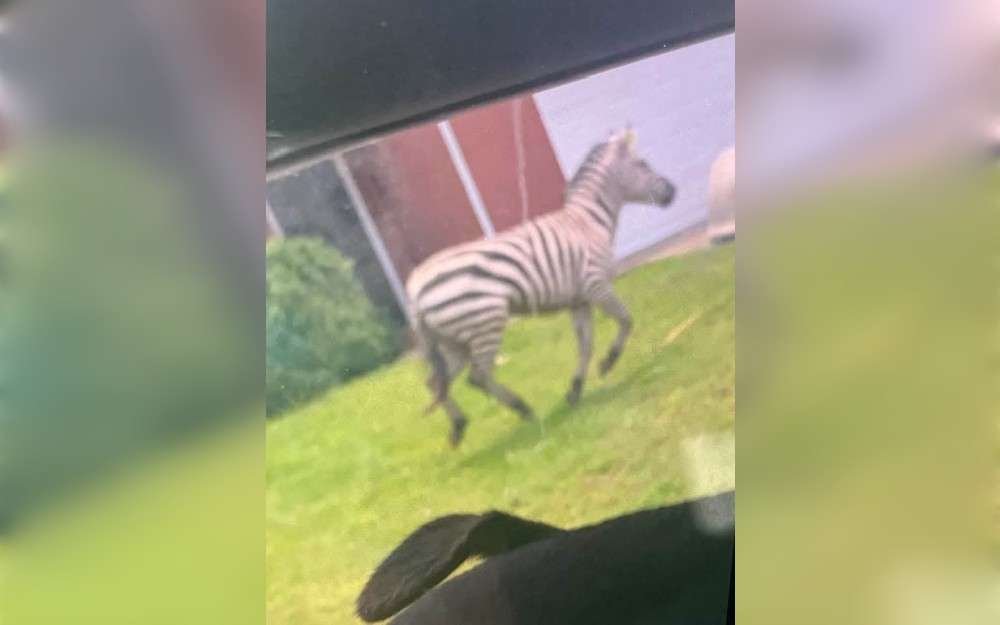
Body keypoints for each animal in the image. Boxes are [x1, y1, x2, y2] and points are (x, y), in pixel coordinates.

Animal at [406, 127, 676, 446]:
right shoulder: (596, 285)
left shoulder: (579, 300)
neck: (587, 221)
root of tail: (415, 291)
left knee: (436, 381)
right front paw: (608, 363)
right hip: (484, 322)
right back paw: (522, 409)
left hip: (454, 340)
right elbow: (626, 321)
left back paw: (459, 426)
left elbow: (585, 345)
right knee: (478, 376)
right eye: (643, 164)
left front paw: (575, 390)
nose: (673, 192)